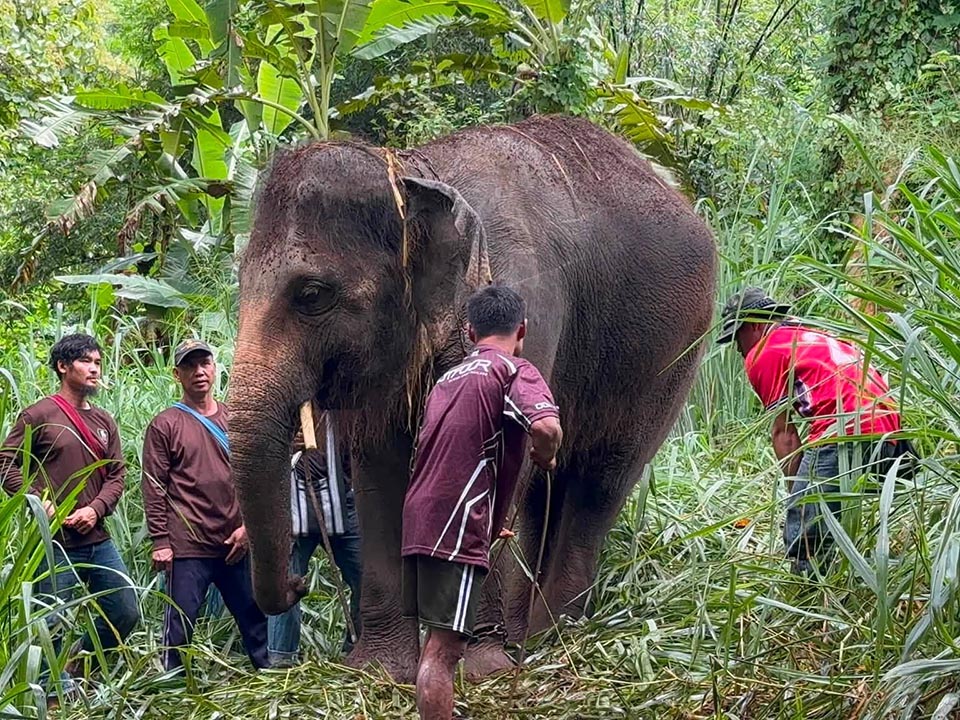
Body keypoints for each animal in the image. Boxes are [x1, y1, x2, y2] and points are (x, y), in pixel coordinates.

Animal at [226, 114, 716, 682]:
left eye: (311, 294)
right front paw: (377, 670)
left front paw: (478, 666)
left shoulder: (527, 302)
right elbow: (379, 470)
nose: (298, 583)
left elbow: (502, 455)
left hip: (670, 355)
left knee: (600, 482)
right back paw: (526, 637)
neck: (413, 172)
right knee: (543, 493)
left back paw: (552, 639)